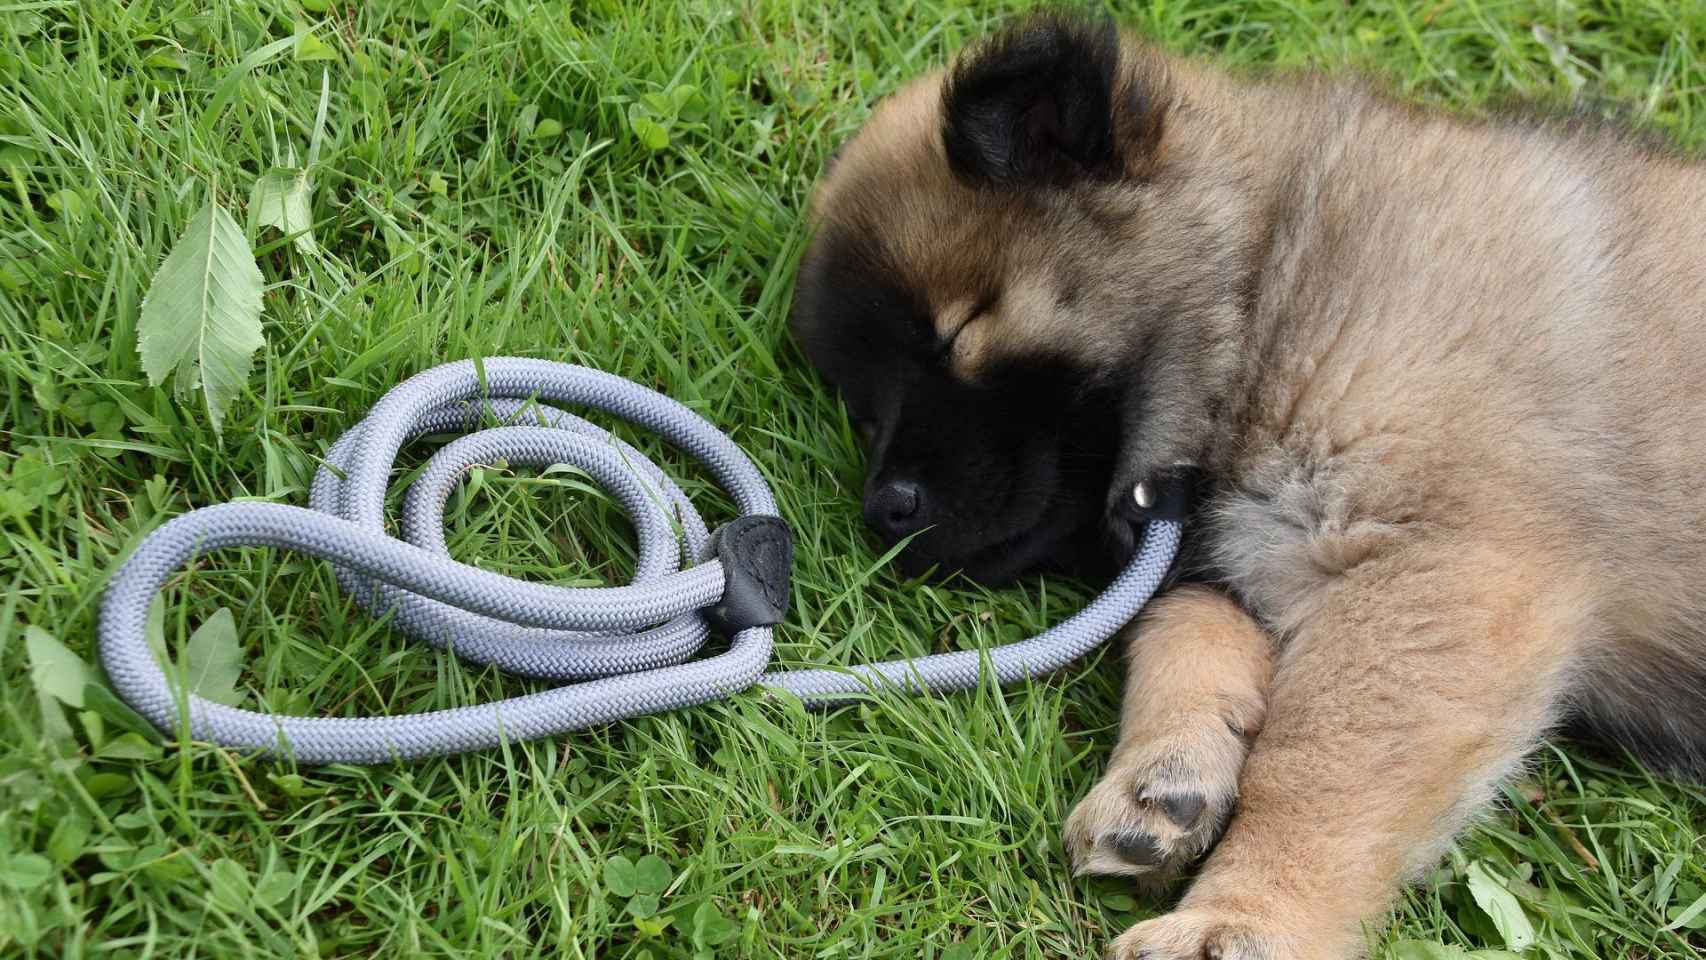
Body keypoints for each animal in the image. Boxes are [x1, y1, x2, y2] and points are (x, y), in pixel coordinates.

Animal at [784, 9, 1706, 960]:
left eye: (957, 333)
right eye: (864, 410)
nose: (884, 510)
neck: (1268, 282)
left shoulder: (1440, 566)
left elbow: (1317, 768)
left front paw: (1246, 916)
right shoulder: (1227, 560)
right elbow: (1186, 639)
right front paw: (1162, 781)